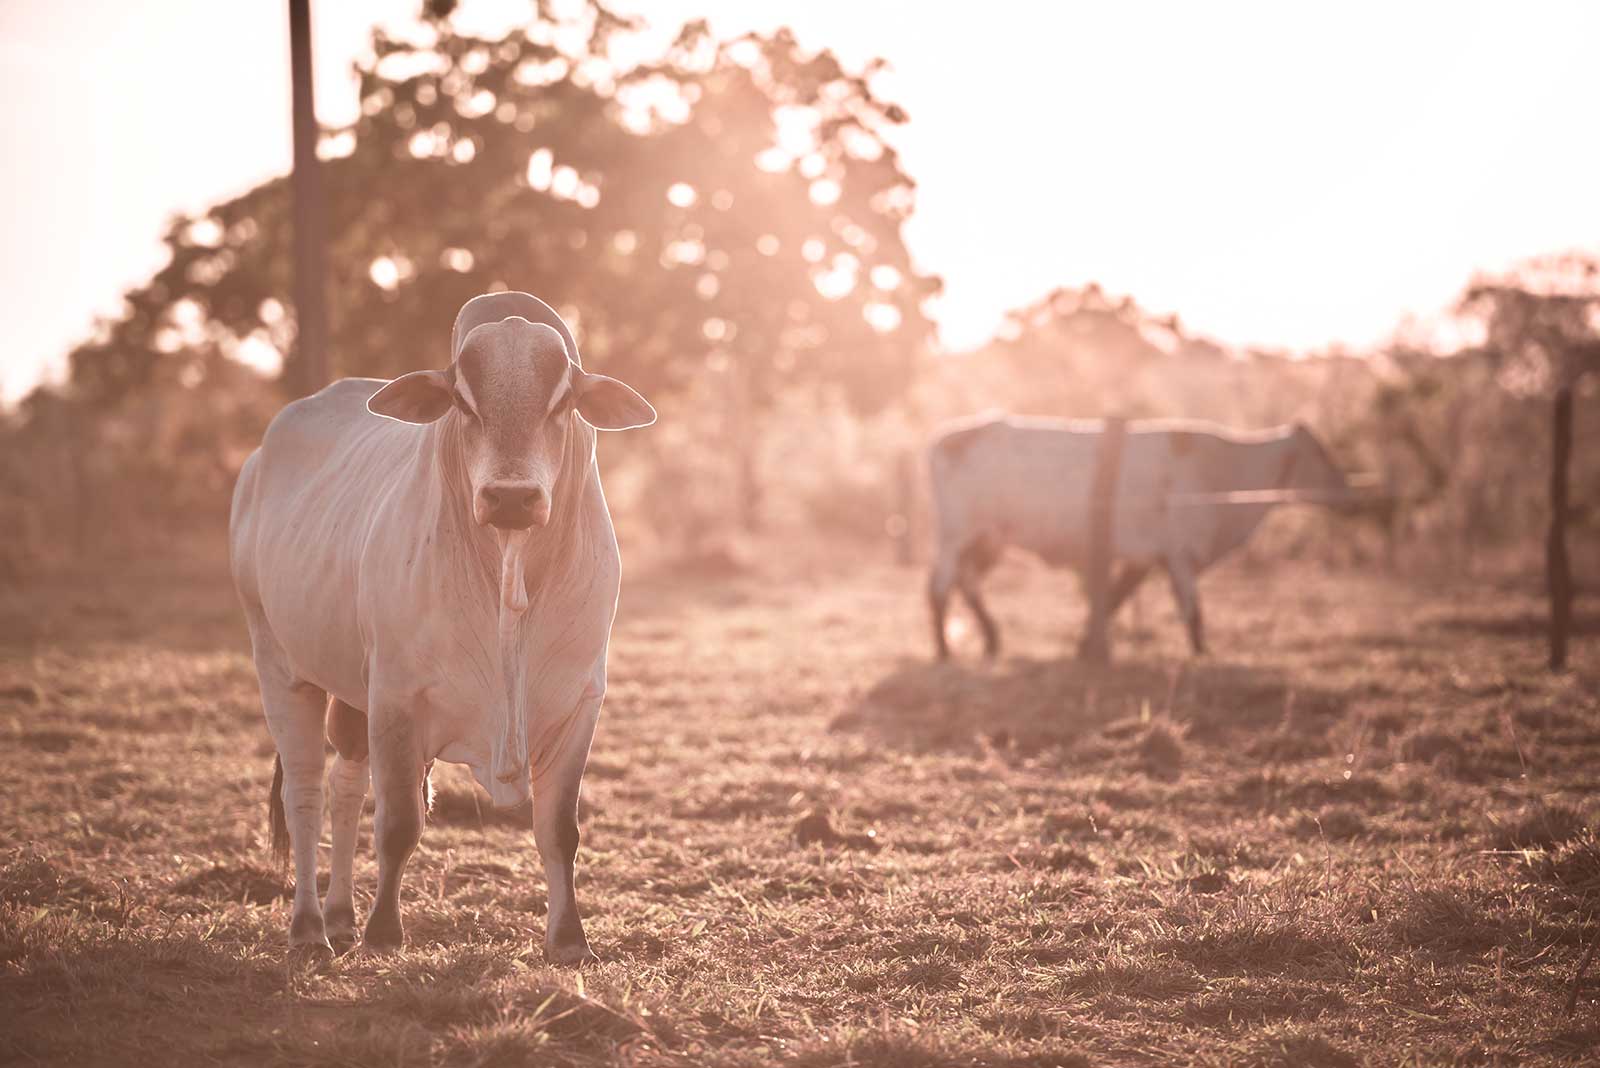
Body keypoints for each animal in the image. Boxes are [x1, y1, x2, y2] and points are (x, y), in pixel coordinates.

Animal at [228, 292, 652, 965]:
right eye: (462, 400)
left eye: (562, 401)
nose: (511, 498)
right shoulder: (397, 699)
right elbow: (399, 823)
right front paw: (383, 932)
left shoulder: (580, 703)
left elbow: (559, 830)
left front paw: (569, 941)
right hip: (280, 664)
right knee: (306, 794)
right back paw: (311, 928)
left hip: (352, 692)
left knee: (346, 785)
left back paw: (340, 916)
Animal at [928, 415, 1350, 658]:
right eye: (1320, 453)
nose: (1345, 489)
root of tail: (947, 439)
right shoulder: (1179, 553)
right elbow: (1192, 608)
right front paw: (1202, 653)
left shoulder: (1147, 557)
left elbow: (1115, 599)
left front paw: (1086, 645)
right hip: (956, 537)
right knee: (939, 589)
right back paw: (946, 650)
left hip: (987, 540)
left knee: (967, 584)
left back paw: (990, 640)